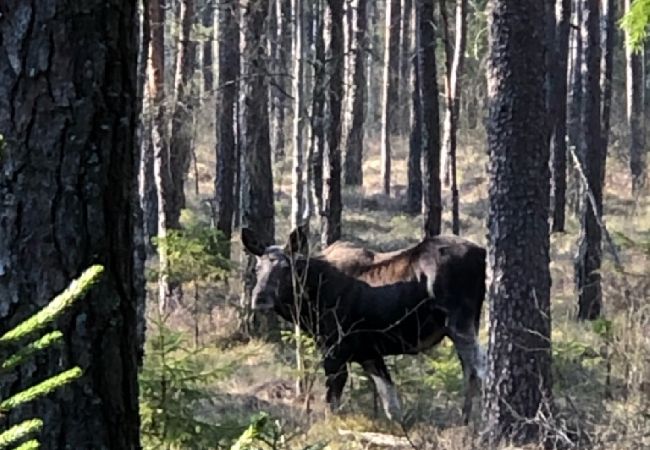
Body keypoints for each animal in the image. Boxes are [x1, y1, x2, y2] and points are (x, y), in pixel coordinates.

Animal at [240, 227, 484, 424]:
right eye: (257, 268)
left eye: (285, 268)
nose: (259, 297)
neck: (309, 303)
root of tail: (483, 253)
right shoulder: (367, 352)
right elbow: (391, 405)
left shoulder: (335, 348)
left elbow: (332, 402)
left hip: (460, 325)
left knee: (477, 373)